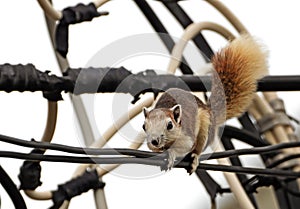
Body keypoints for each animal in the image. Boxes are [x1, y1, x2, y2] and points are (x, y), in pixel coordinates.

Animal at [142, 34, 268, 174]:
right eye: (144, 126)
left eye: (170, 125)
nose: (154, 140)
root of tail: (210, 111)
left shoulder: (187, 136)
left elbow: (184, 147)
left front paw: (171, 153)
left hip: (205, 129)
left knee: (197, 149)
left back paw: (194, 158)